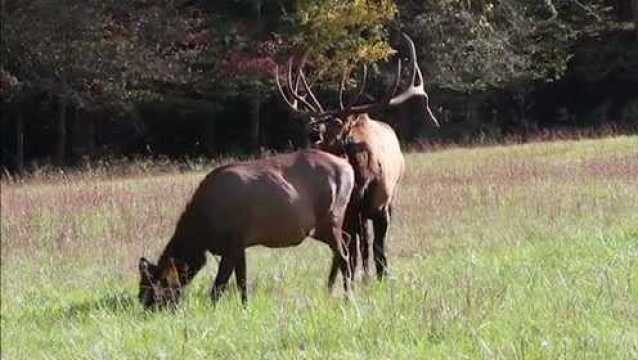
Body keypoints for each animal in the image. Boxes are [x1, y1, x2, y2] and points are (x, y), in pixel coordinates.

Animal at [138, 148, 356, 308]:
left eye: (155, 291)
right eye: (141, 290)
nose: (147, 310)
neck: (203, 230)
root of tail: (349, 168)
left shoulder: (232, 241)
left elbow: (219, 285)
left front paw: (212, 309)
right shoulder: (240, 244)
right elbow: (241, 281)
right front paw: (245, 307)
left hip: (332, 216)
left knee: (344, 254)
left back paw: (348, 297)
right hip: (320, 227)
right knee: (345, 243)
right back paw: (329, 290)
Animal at [276, 33, 440, 286]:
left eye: (337, 123)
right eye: (317, 121)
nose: (312, 132)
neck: (362, 178)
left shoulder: (382, 206)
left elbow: (379, 249)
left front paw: (383, 279)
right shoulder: (348, 213)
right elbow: (352, 251)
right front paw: (352, 281)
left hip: (388, 198)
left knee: (367, 243)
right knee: (358, 245)